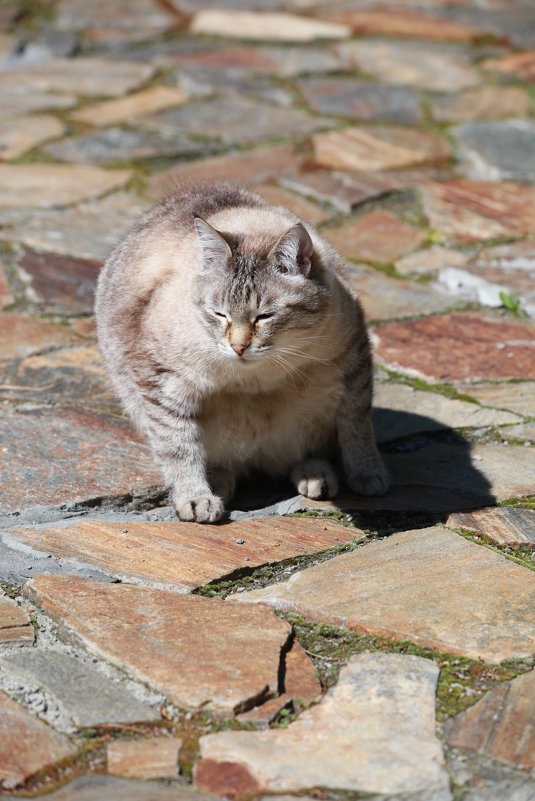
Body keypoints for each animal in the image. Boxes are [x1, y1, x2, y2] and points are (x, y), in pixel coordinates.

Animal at [95, 182, 390, 520]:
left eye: (264, 316)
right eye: (220, 314)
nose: (238, 347)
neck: (259, 376)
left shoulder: (353, 355)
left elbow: (357, 426)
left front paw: (367, 474)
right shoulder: (161, 380)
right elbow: (178, 446)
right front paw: (194, 498)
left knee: (304, 452)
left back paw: (316, 476)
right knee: (219, 462)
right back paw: (218, 484)